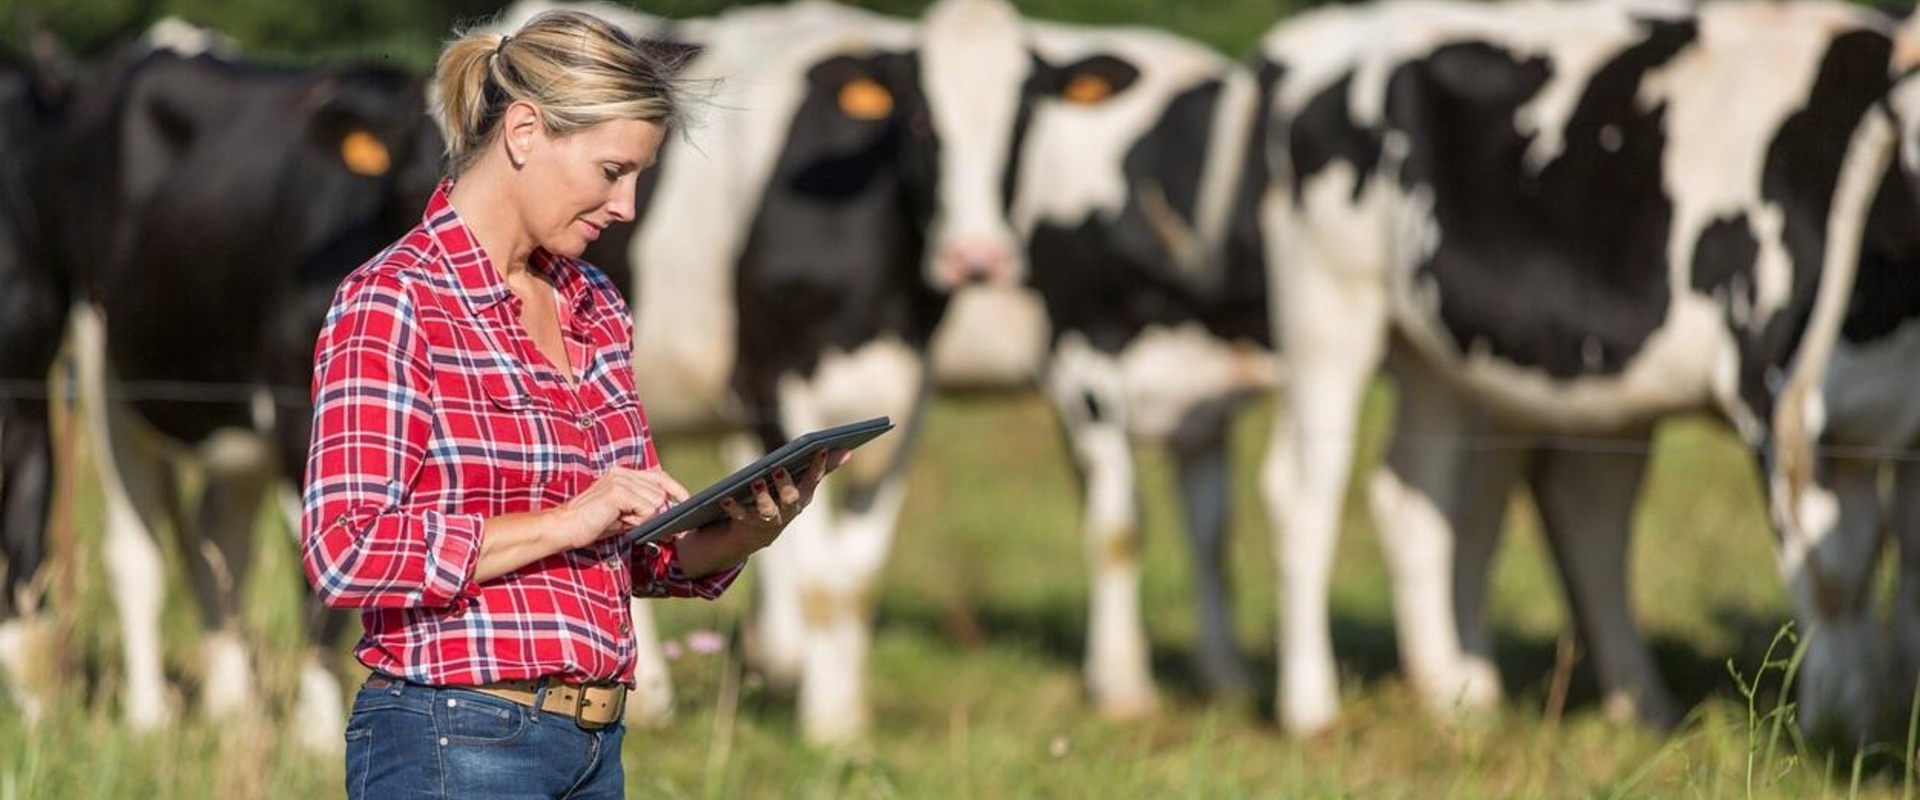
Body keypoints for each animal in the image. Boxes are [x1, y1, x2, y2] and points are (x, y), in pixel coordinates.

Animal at [40, 42, 439, 740]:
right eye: (420, 180)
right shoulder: (301, 415)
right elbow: (321, 585)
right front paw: (315, 730)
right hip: (102, 366)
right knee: (137, 549)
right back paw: (148, 713)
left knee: (218, 544)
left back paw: (231, 705)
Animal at [1251, 0, 1920, 740]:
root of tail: (1325, 35)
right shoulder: (1771, 396)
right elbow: (1834, 570)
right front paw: (1838, 723)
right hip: (1327, 311)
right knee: (1304, 491)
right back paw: (1313, 709)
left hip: (1441, 358)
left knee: (1424, 498)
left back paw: (1463, 703)